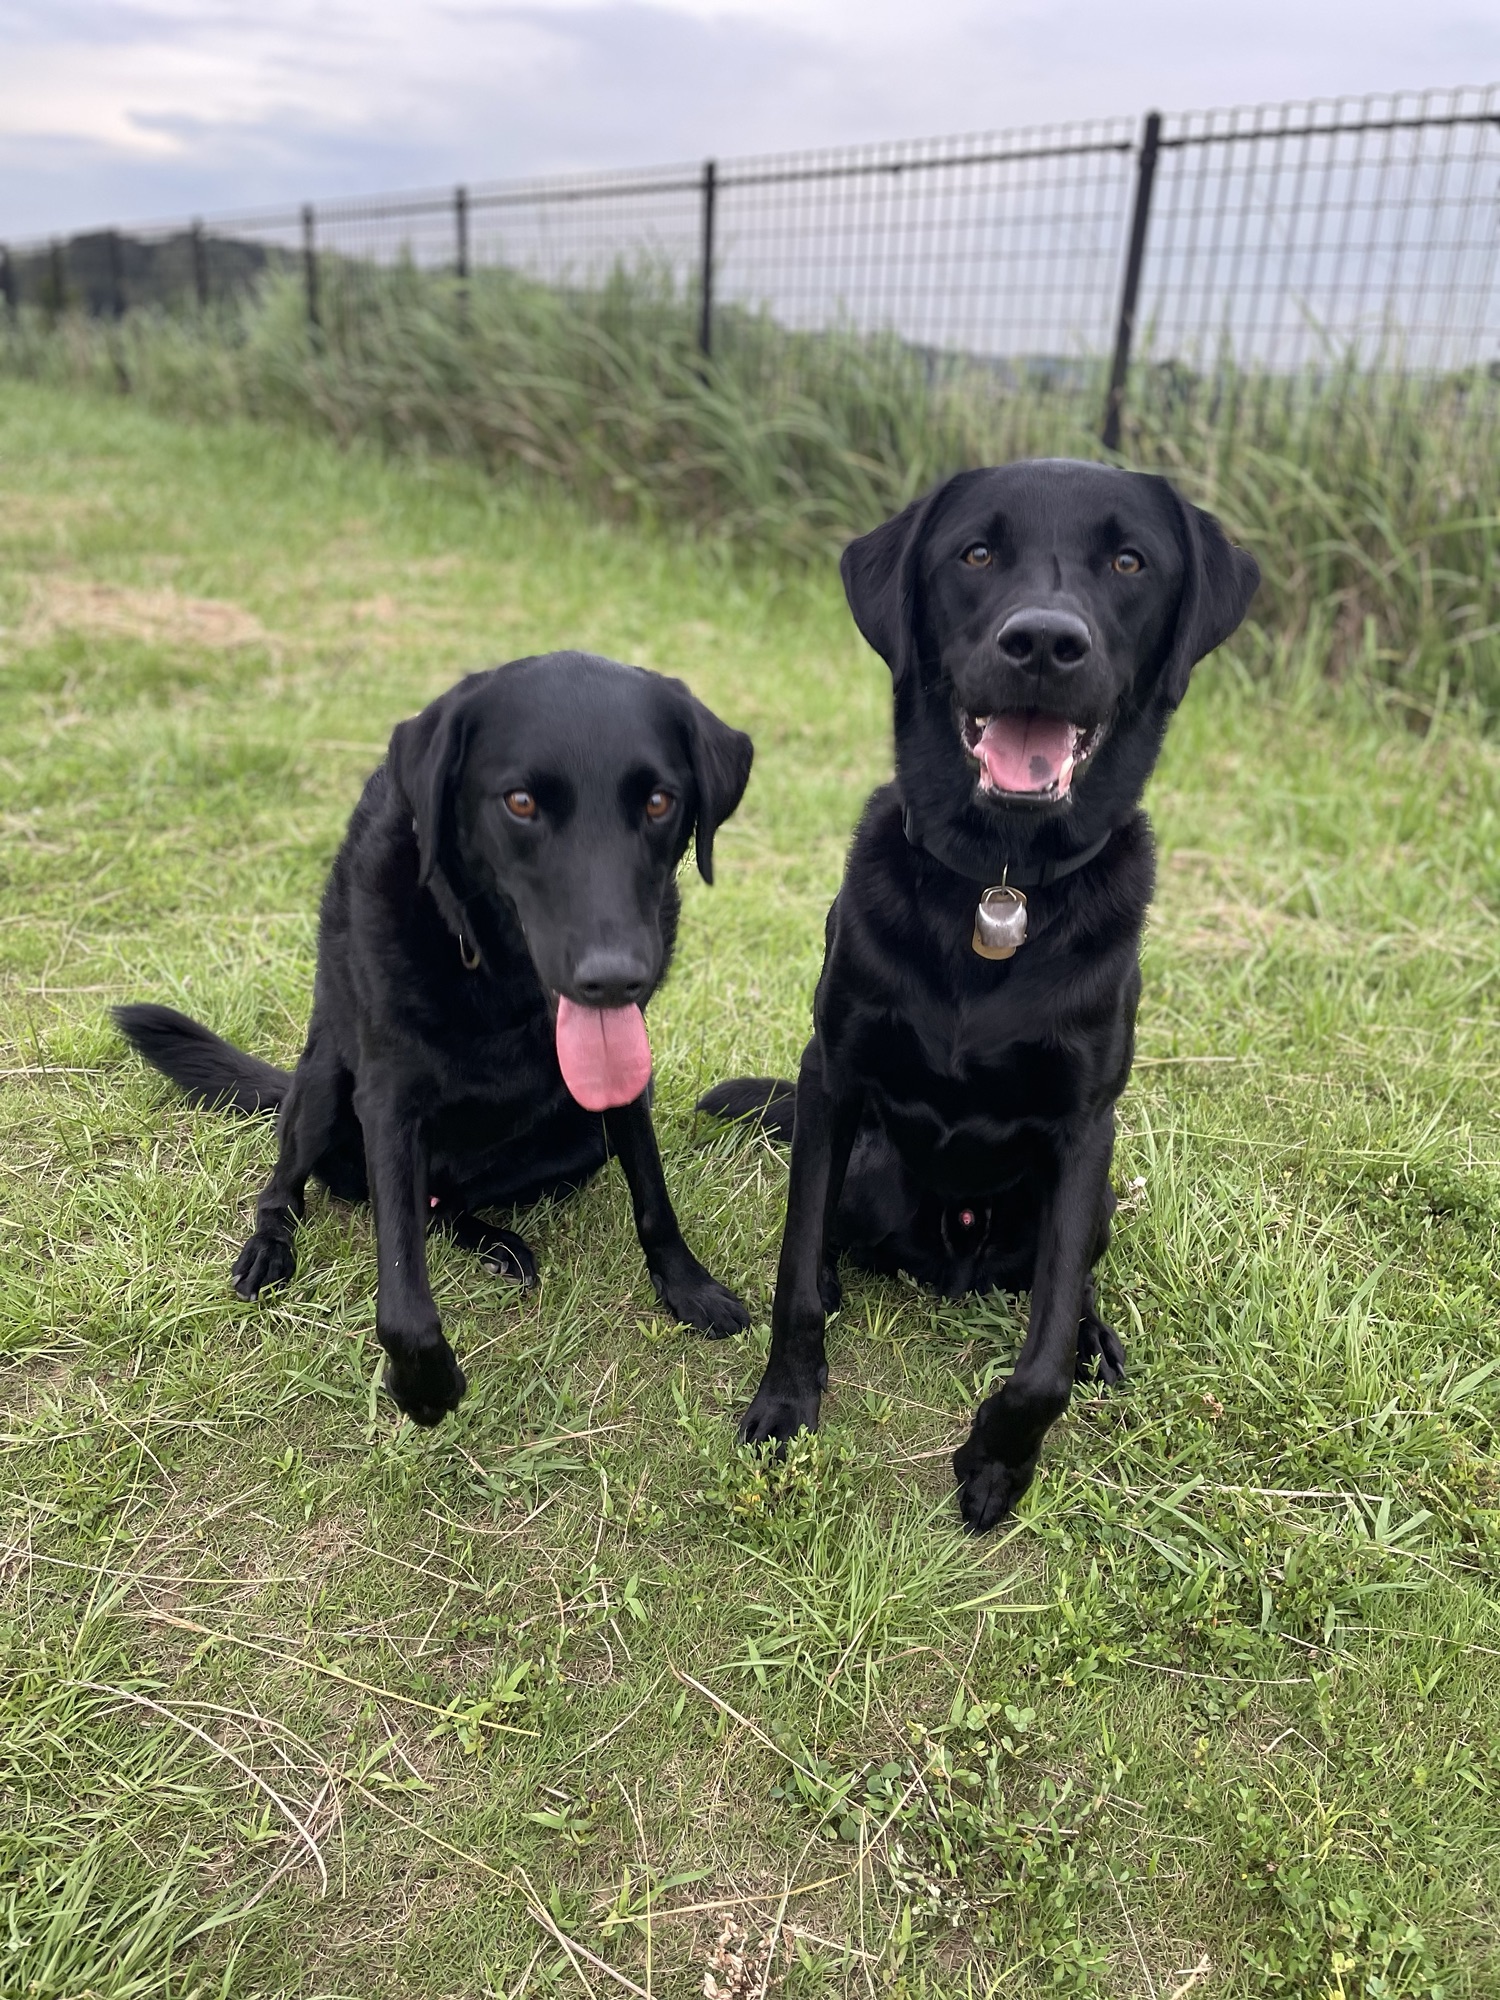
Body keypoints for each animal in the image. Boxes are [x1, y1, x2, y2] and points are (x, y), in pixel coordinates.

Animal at [117, 650, 754, 1424]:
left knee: (446, 1206)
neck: (502, 983)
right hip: (321, 1086)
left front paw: (689, 1288)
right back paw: (269, 1249)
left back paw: (496, 1243)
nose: (615, 979)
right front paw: (424, 1386)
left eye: (660, 802)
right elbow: (402, 1292)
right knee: (289, 1188)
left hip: (579, 1140)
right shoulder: (391, 1103)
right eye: (520, 802)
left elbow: (653, 1197)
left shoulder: (626, 1082)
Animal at [701, 461, 1259, 1530]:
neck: (1001, 882)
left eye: (1130, 562)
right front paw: (787, 1406)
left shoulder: (1085, 1129)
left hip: (1099, 1199)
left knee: (1066, 1285)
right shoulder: (834, 1073)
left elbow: (1040, 1361)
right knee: (829, 1231)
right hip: (869, 1166)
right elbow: (793, 1275)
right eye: (976, 553)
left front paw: (998, 1460)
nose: (1042, 642)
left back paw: (1096, 1338)